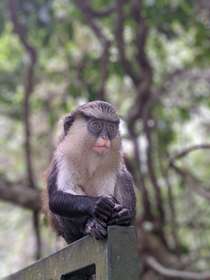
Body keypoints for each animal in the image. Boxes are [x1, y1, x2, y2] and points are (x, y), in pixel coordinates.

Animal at [45, 100, 135, 243]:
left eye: (111, 128)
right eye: (96, 125)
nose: (105, 138)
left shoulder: (115, 161)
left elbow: (122, 176)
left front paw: (123, 214)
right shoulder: (63, 157)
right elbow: (55, 198)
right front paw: (98, 204)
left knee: (122, 176)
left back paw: (122, 218)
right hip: (70, 234)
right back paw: (91, 225)